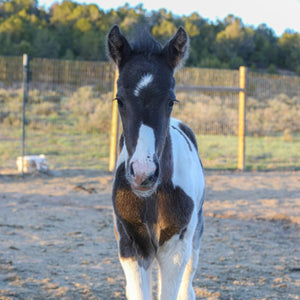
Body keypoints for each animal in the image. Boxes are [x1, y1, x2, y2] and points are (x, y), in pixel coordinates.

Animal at [106, 25, 205, 300]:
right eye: (119, 99)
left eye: (171, 100)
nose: (143, 173)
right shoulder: (132, 245)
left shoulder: (175, 246)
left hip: (195, 233)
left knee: (188, 283)